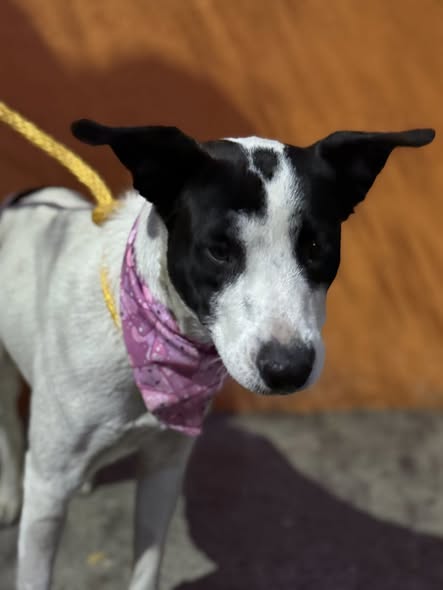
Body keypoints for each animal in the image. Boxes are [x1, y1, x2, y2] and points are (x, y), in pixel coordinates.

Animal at [0, 119, 434, 589]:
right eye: (219, 250)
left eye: (316, 248)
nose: (288, 369)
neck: (144, 342)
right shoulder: (48, 488)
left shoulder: (165, 464)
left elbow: (147, 564)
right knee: (10, 424)